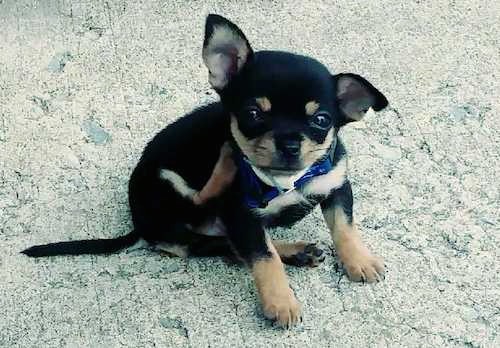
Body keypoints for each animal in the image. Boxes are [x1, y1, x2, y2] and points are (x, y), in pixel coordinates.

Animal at [23, 14, 388, 328]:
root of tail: (140, 225)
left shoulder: (336, 184)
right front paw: (281, 303)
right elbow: (264, 258)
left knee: (227, 247)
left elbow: (344, 227)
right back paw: (230, 171)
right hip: (170, 187)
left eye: (321, 120)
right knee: (215, 230)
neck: (285, 182)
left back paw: (299, 251)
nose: (288, 143)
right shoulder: (241, 215)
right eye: (253, 113)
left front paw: (360, 260)